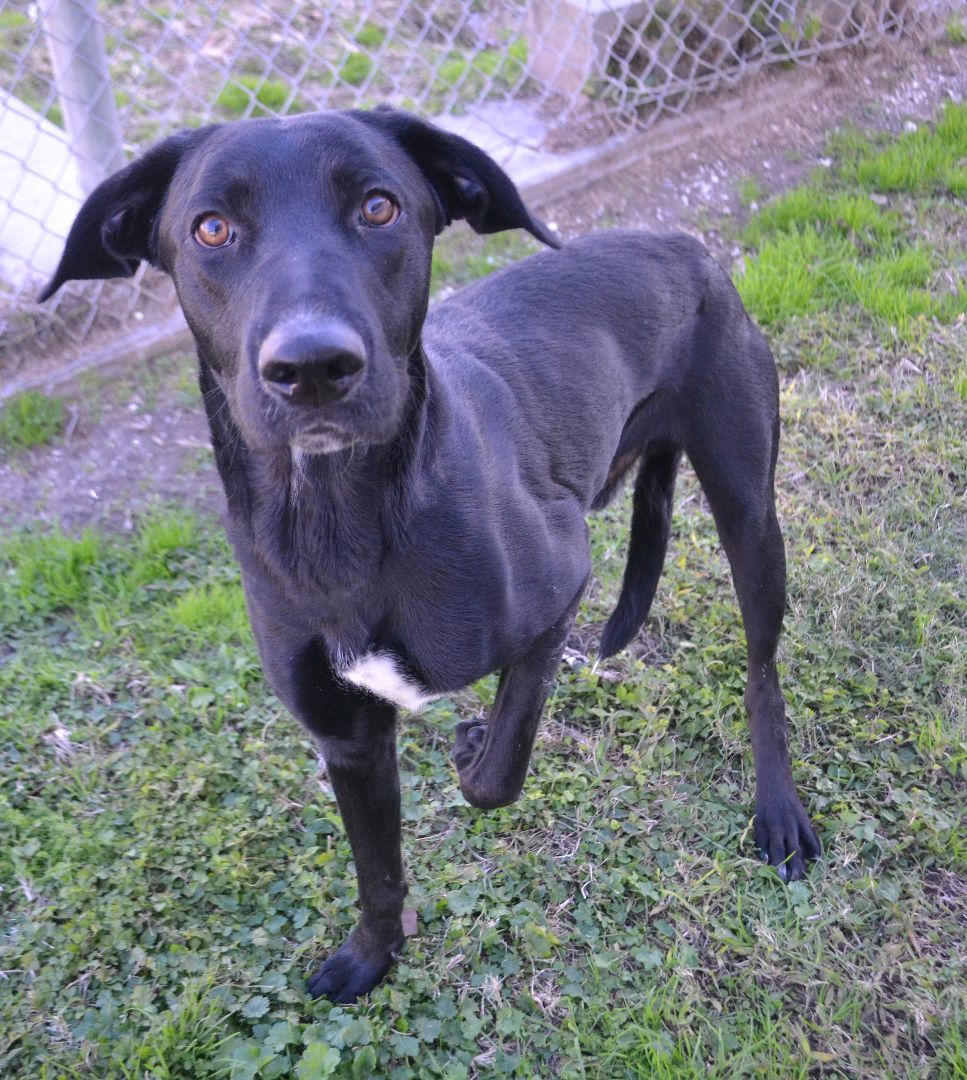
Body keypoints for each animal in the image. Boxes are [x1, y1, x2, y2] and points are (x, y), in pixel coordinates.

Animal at [41, 107, 821, 1002]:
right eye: (210, 228)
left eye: (379, 207)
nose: (313, 368)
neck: (337, 527)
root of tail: (682, 245)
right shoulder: (346, 740)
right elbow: (377, 870)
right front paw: (371, 957)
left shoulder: (561, 589)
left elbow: (495, 776)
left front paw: (475, 748)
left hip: (748, 511)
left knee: (760, 669)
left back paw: (777, 810)